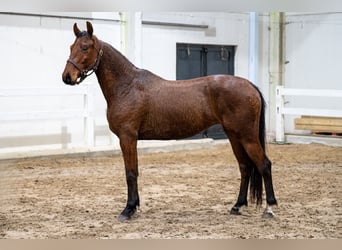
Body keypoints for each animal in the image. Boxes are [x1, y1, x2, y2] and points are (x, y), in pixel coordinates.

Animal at [61, 21, 276, 221]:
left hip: (247, 137)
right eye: (71, 46)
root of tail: (249, 85)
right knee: (245, 167)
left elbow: (131, 173)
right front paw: (135, 206)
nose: (67, 77)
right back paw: (237, 206)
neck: (127, 86)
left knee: (264, 164)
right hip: (233, 135)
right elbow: (133, 171)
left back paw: (270, 208)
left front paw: (128, 209)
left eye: (85, 47)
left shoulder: (127, 137)